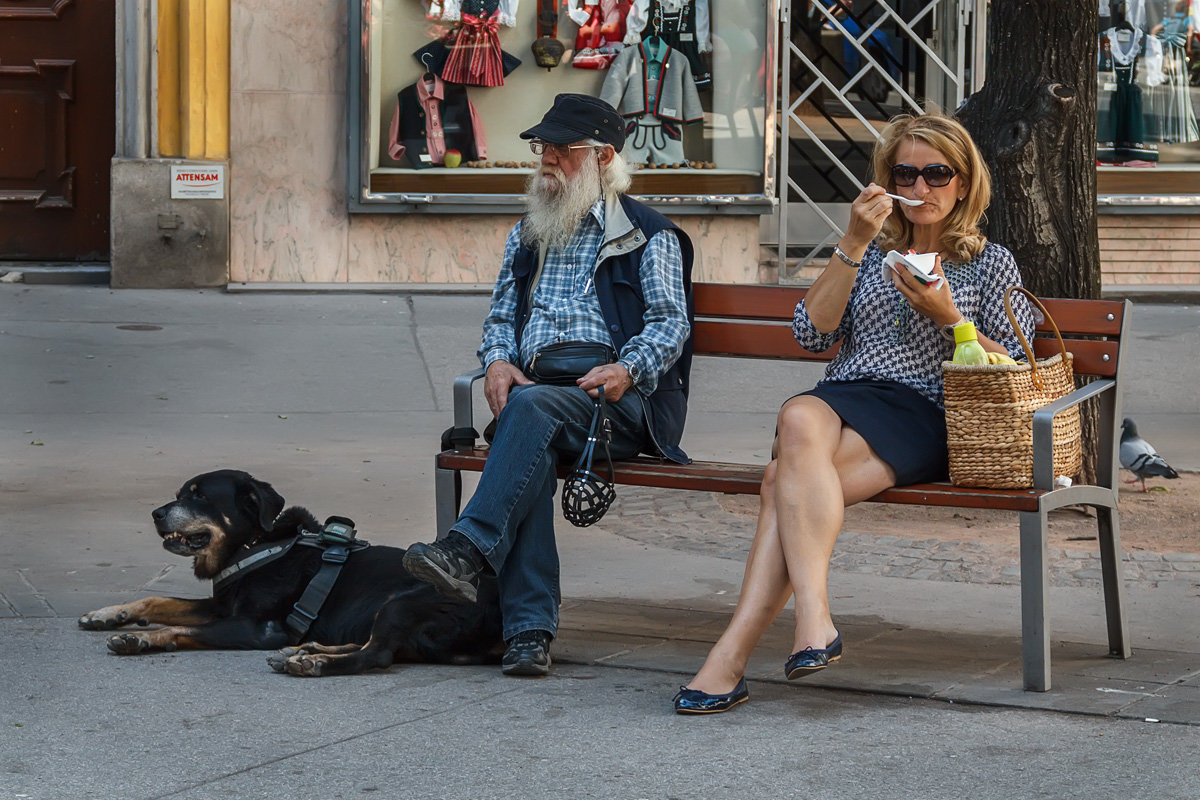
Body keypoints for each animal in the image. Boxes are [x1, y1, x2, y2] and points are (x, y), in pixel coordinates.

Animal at [78, 470, 501, 676]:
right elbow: (158, 599)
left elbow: (180, 627)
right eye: (180, 493)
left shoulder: (257, 628)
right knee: (378, 647)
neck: (254, 545)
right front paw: (107, 614)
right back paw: (307, 651)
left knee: (377, 654)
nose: (155, 514)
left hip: (404, 603)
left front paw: (139, 639)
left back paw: (314, 663)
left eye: (199, 496)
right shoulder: (221, 607)